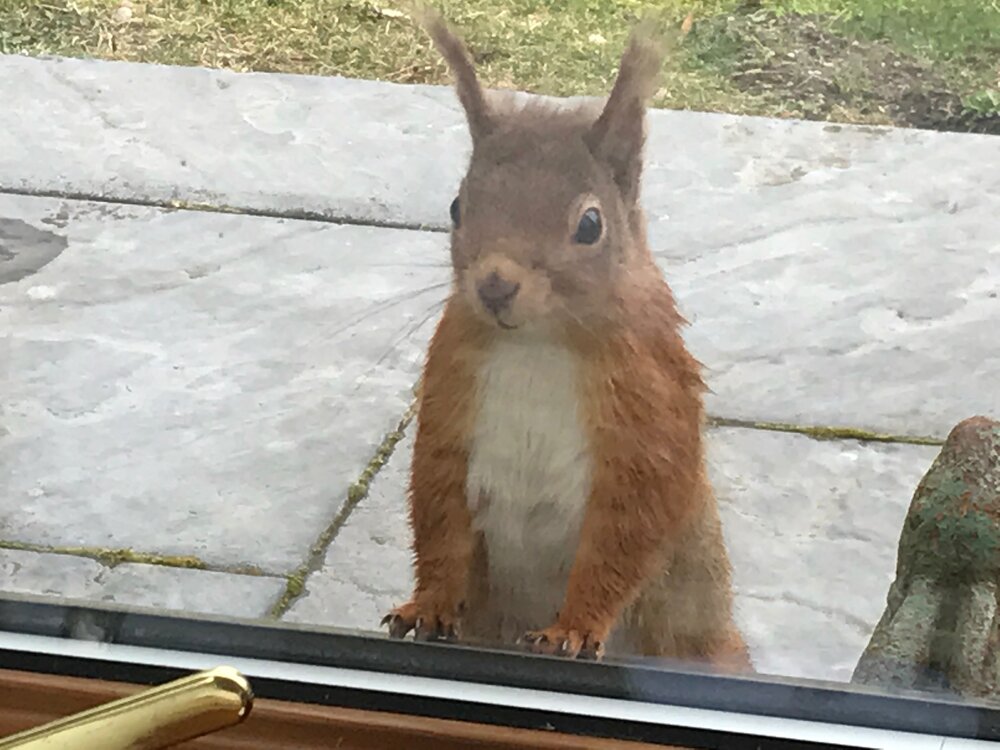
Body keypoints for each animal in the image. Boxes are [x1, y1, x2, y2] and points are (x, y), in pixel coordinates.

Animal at [383, 7, 752, 669]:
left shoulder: (647, 410)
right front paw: (427, 606)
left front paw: (573, 629)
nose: (495, 286)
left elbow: (623, 537)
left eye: (590, 224)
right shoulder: (451, 394)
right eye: (456, 207)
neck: (539, 344)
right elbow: (440, 519)